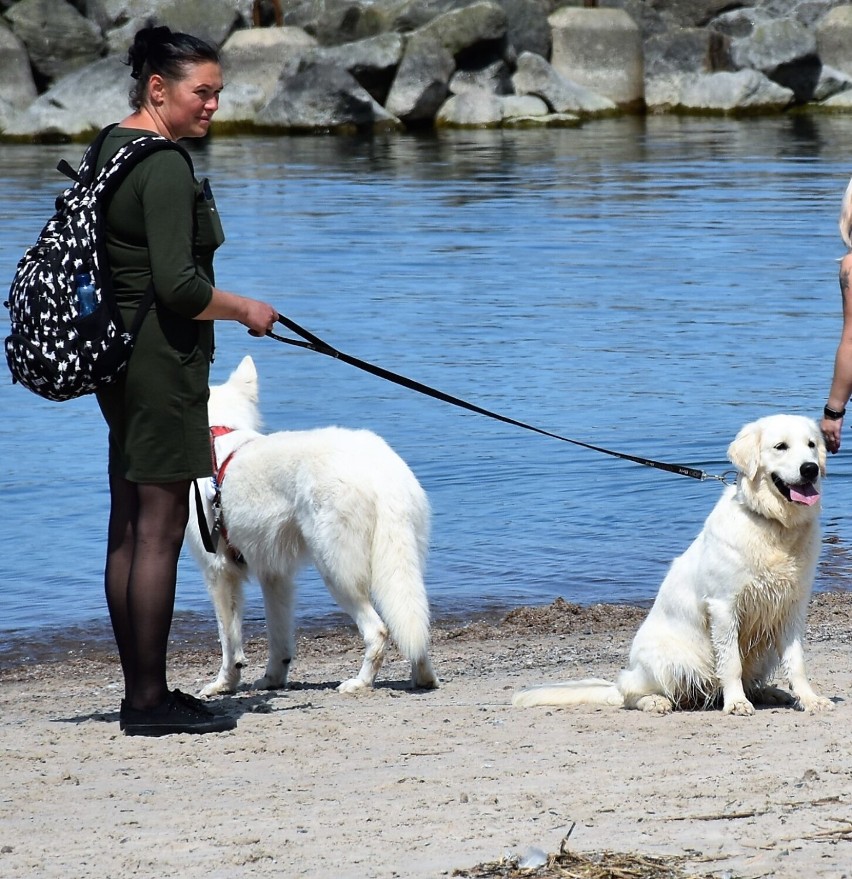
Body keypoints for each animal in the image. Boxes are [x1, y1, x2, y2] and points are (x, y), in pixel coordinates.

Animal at [186, 356, 440, 696]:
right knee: (415, 627)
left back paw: (360, 682)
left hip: (336, 571)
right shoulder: (274, 575)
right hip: (402, 566)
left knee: (378, 631)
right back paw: (422, 678)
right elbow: (279, 640)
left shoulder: (219, 574)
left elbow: (229, 642)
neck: (218, 439)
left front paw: (223, 684)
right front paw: (272, 679)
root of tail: (380, 474)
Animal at [512, 416, 832, 720]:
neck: (775, 526)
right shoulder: (724, 606)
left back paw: (769, 692)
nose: (810, 469)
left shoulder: (791, 606)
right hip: (672, 661)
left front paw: (809, 699)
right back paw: (655, 701)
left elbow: (796, 661)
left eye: (811, 445)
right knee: (629, 691)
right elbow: (731, 663)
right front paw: (736, 703)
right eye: (780, 446)